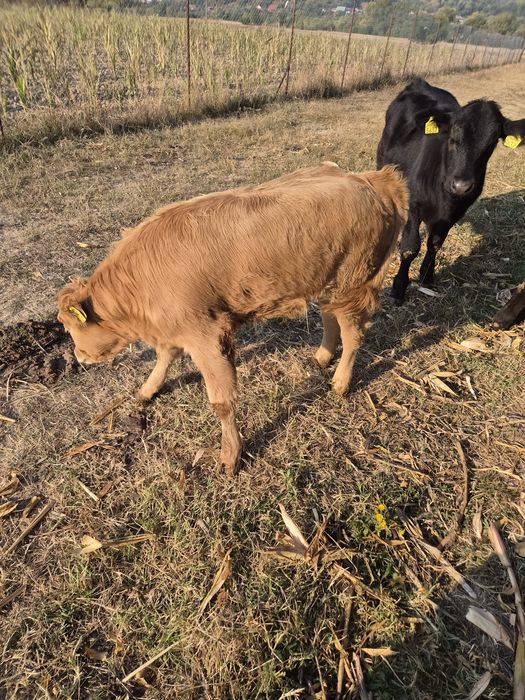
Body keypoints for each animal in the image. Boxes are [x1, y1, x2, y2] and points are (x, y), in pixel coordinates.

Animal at [58, 163, 408, 475]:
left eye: (69, 327)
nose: (78, 356)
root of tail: (370, 179)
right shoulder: (176, 328)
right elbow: (165, 357)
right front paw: (147, 389)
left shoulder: (207, 334)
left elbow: (221, 401)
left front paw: (230, 456)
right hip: (327, 281)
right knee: (329, 317)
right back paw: (322, 356)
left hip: (353, 284)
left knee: (353, 334)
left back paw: (340, 382)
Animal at [377, 77, 525, 304]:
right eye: (453, 138)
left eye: (491, 144)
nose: (461, 185)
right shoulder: (414, 205)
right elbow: (410, 248)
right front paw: (398, 288)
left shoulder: (453, 214)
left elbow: (435, 243)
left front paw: (427, 275)